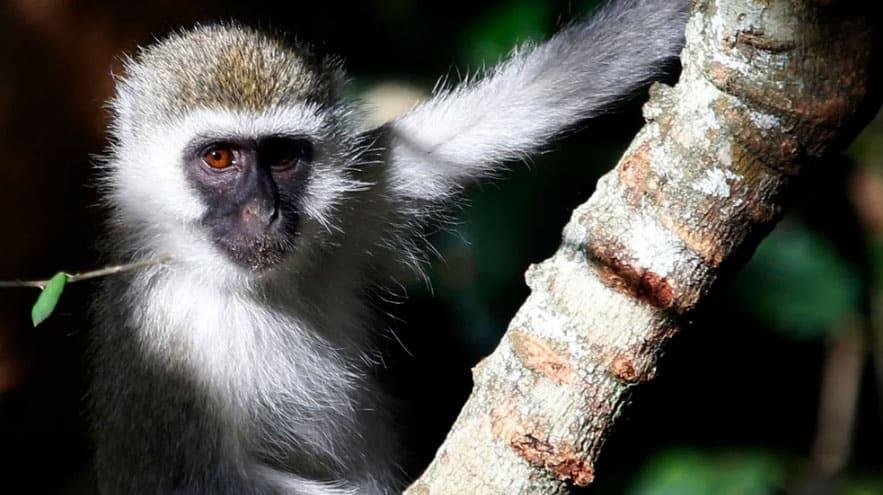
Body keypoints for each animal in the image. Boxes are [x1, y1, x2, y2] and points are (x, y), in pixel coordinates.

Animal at [89, 0, 689, 493]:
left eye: (283, 157)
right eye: (218, 158)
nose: (264, 212)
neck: (248, 286)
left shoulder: (367, 189)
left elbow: (531, 98)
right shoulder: (163, 340)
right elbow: (196, 482)